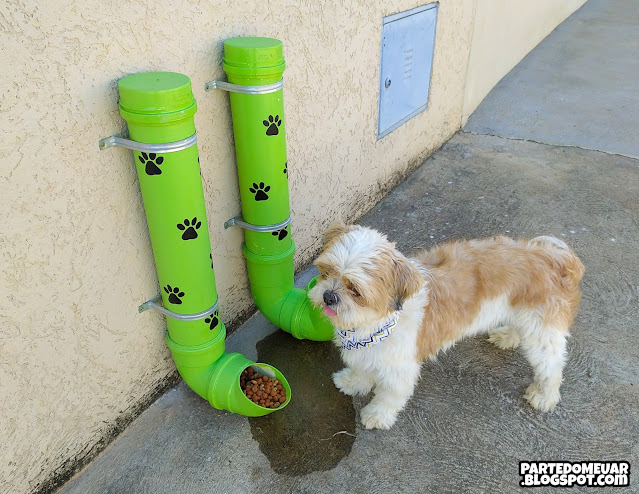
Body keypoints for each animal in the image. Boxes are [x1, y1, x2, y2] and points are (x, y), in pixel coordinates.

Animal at [308, 224, 584, 428]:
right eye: (326, 272)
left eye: (355, 290)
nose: (329, 296)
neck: (374, 324)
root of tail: (554, 256)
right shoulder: (367, 351)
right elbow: (362, 368)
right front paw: (354, 381)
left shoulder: (400, 368)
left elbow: (389, 394)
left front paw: (377, 414)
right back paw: (508, 336)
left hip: (542, 331)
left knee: (551, 365)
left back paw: (545, 395)